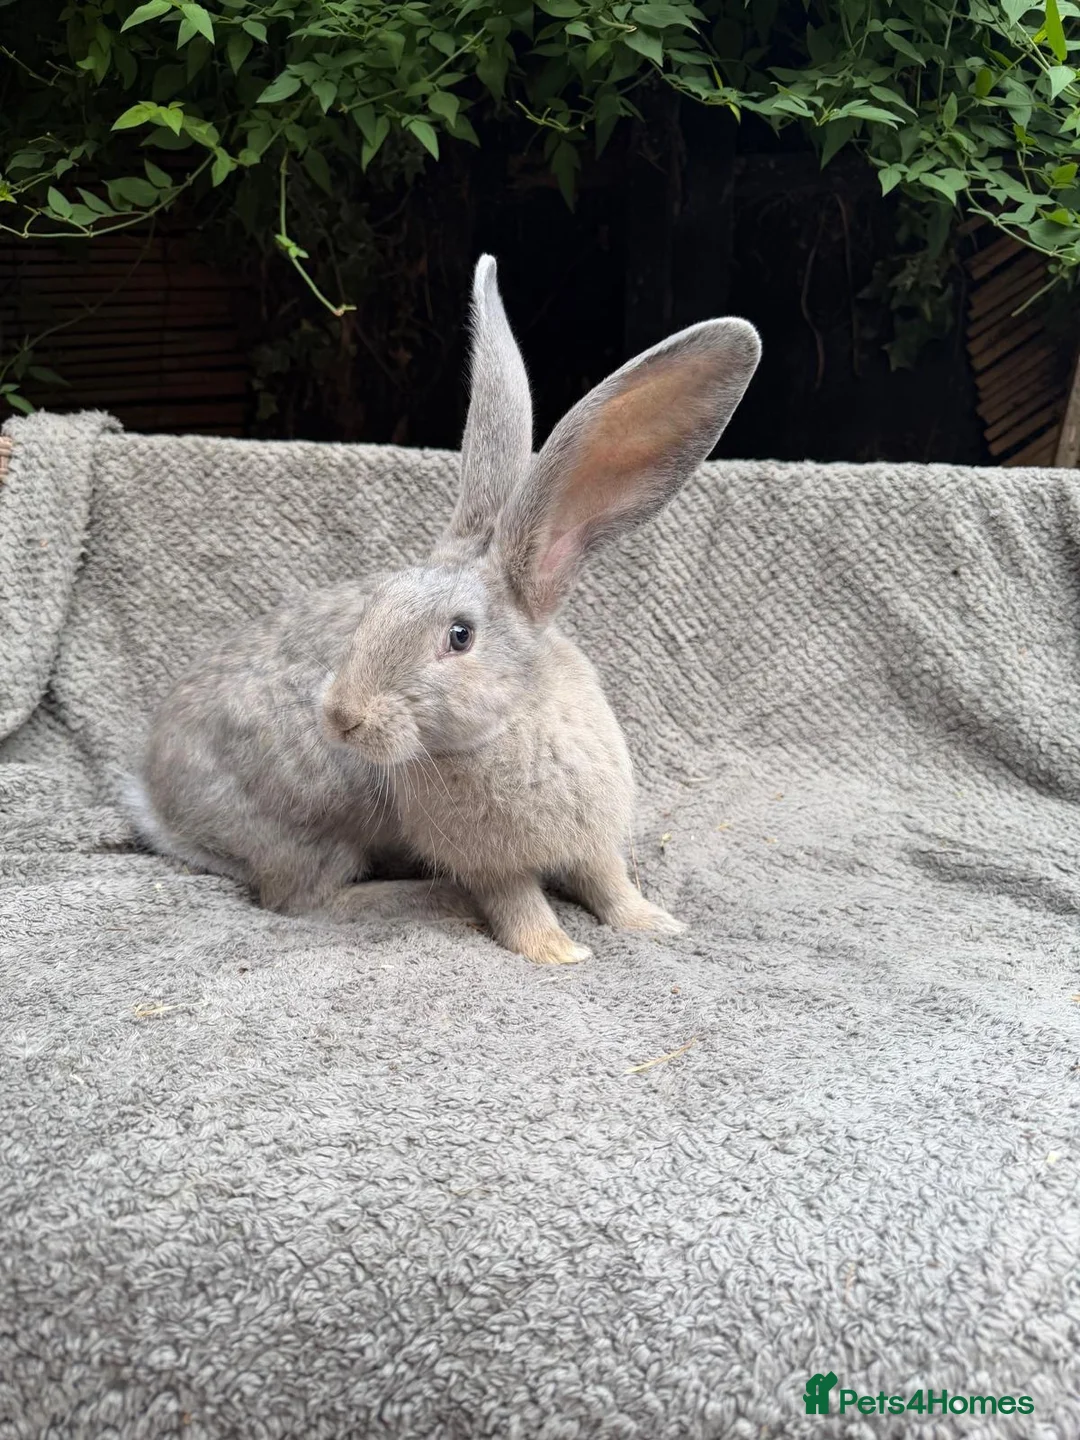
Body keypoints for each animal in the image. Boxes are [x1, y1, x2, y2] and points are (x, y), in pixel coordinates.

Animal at [130, 255, 761, 964]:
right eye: (376, 605)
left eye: (460, 636)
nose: (342, 717)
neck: (506, 727)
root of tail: (156, 799)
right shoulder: (492, 865)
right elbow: (517, 905)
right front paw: (559, 952)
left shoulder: (594, 840)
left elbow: (610, 882)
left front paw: (654, 924)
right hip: (314, 819)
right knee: (301, 897)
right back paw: (418, 898)